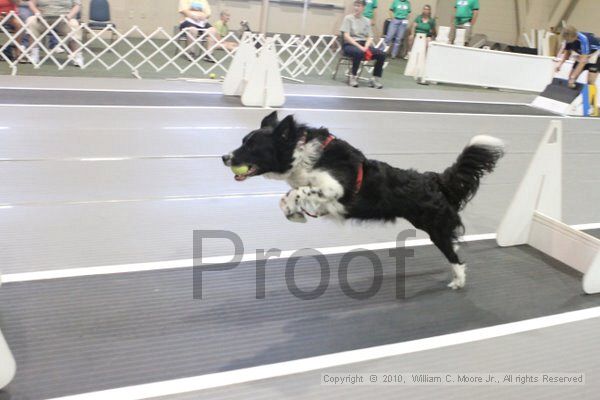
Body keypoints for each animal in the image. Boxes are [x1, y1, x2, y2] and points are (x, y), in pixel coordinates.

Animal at [223, 111, 504, 290]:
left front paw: (295, 208)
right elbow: (287, 199)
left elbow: (296, 192)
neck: (300, 153)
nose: (225, 158)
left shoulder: (334, 187)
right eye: (243, 142)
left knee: (455, 256)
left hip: (436, 229)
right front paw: (295, 214)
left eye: (252, 146)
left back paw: (459, 281)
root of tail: (435, 180)